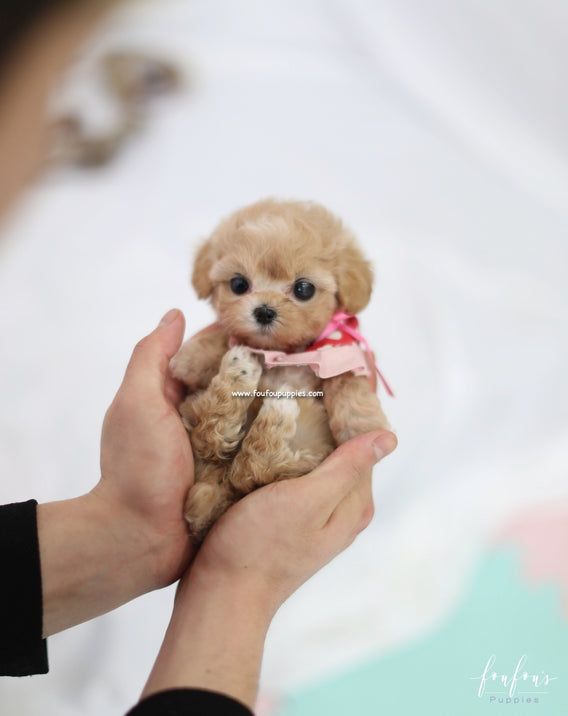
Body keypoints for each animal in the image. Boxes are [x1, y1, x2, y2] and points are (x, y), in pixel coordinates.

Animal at [171, 199, 388, 540]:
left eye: (303, 289)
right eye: (238, 284)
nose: (264, 311)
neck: (282, 353)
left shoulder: (340, 354)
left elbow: (346, 379)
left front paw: (363, 424)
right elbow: (218, 339)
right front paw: (190, 358)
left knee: (251, 469)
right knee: (217, 441)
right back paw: (247, 376)